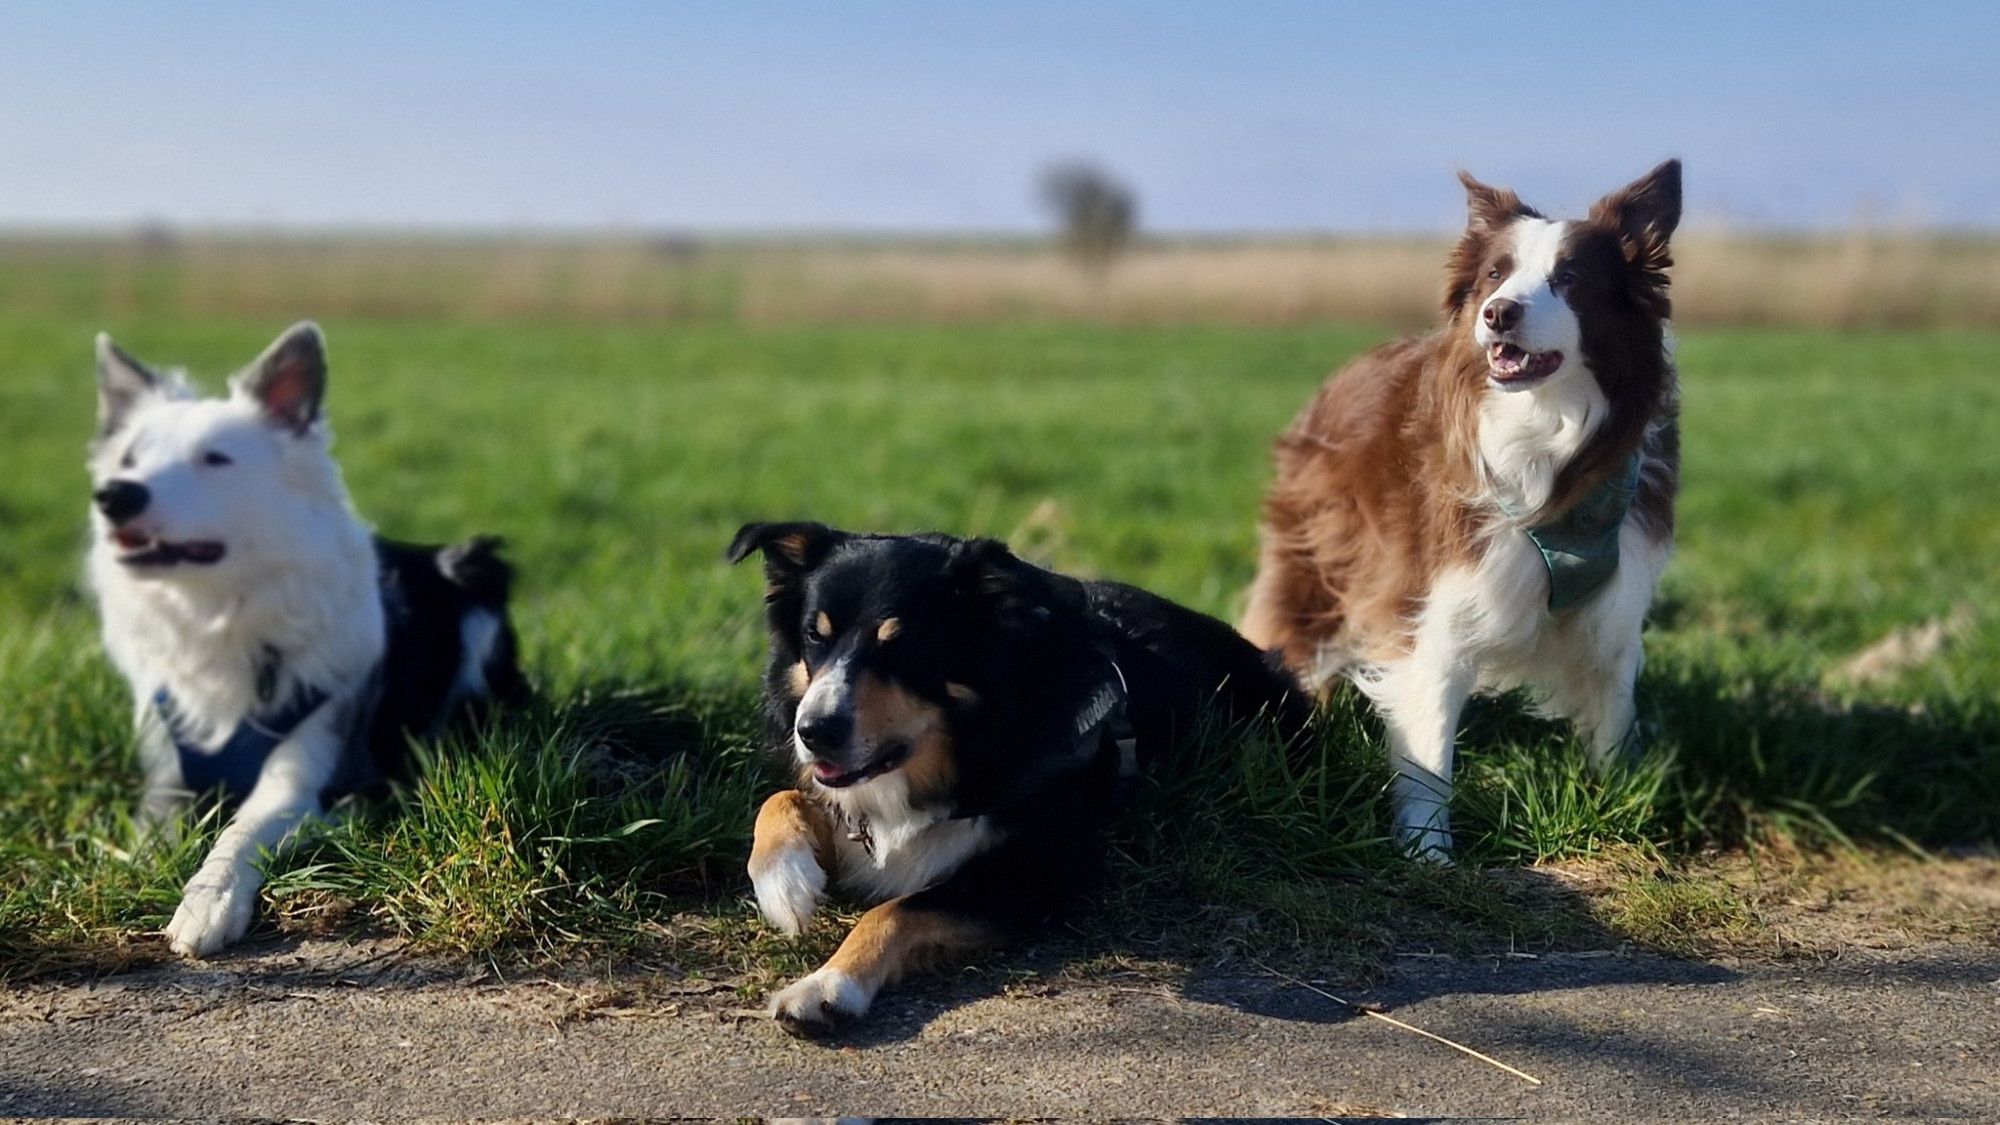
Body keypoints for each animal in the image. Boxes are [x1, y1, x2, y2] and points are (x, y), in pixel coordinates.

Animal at [89, 322, 528, 952]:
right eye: (127, 460)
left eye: (215, 459)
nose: (115, 495)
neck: (222, 611)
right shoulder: (166, 776)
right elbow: (150, 831)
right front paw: (137, 868)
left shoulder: (297, 771)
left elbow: (240, 831)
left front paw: (207, 899)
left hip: (475, 578)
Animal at [728, 520, 1304, 1032]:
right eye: (814, 635)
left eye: (904, 646)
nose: (813, 731)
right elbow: (781, 798)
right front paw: (785, 883)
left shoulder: (1030, 874)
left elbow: (897, 909)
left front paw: (827, 986)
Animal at [1240, 162, 1680, 852]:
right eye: (1496, 274)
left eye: (1570, 278)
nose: (1498, 314)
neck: (1545, 435)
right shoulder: (1435, 599)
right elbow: (1429, 746)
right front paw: (1429, 855)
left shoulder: (1617, 598)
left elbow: (1613, 711)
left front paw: (1616, 808)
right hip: (1317, 562)